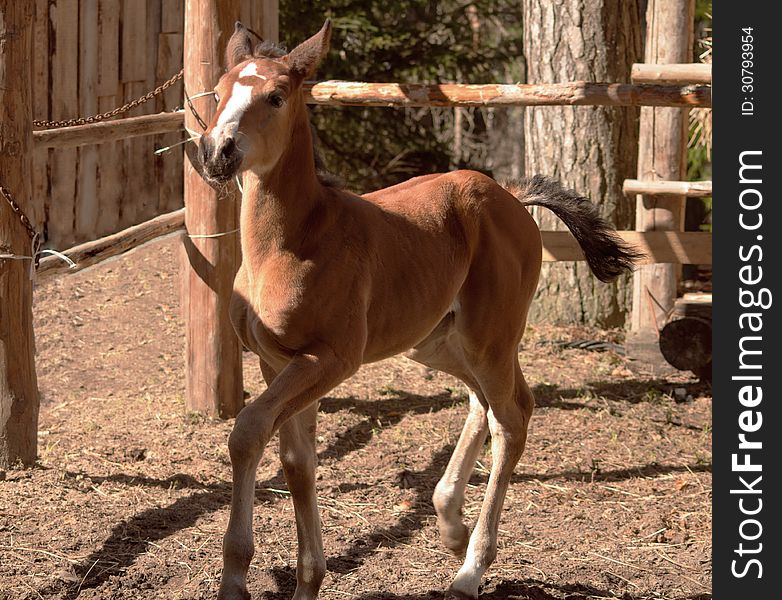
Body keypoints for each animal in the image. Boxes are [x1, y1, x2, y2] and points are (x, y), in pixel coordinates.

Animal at [201, 19, 644, 600]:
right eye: (218, 91)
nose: (216, 152)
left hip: (489, 335)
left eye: (275, 96)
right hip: (438, 342)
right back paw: (451, 524)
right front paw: (309, 579)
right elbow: (298, 463)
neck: (292, 242)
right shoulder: (277, 362)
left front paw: (235, 578)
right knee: (488, 400)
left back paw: (470, 569)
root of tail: (510, 196)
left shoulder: (331, 359)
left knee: (511, 417)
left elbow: (248, 431)